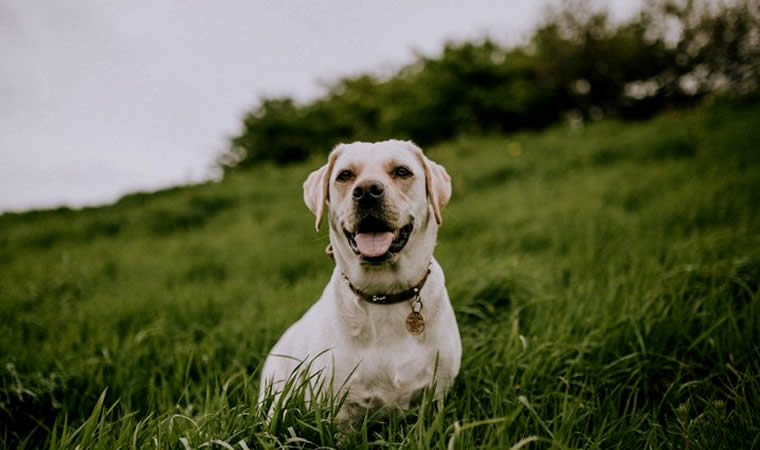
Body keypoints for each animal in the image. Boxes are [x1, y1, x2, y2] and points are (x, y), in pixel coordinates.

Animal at [262, 141, 460, 426]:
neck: (384, 295)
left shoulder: (438, 394)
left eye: (402, 171)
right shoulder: (339, 409)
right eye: (344, 175)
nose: (367, 191)